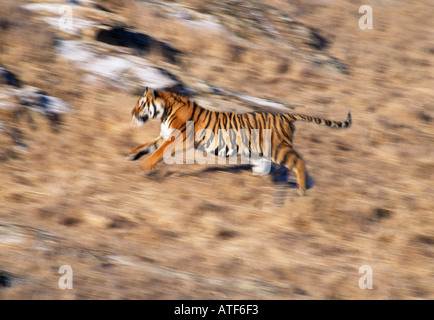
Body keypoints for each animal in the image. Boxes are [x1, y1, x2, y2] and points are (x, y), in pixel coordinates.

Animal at [127, 88, 350, 198]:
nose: (132, 113)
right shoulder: (165, 136)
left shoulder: (178, 139)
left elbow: (157, 153)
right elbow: (147, 145)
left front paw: (144, 167)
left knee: (299, 162)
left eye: (141, 103)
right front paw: (132, 154)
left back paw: (301, 190)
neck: (164, 112)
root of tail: (286, 115)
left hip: (278, 149)